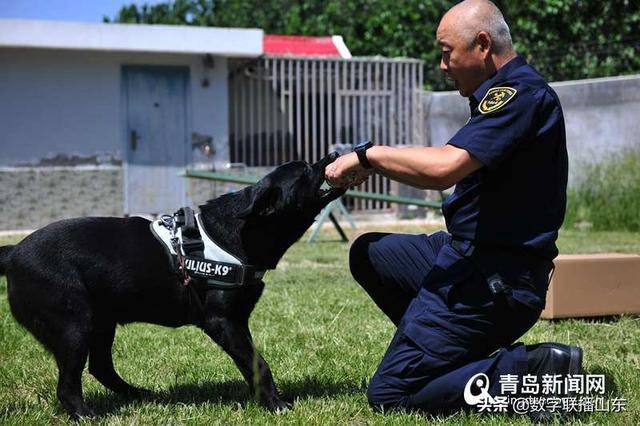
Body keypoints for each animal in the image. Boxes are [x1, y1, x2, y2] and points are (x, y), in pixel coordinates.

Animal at [0, 151, 344, 418]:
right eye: (305, 169)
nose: (334, 154)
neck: (239, 233)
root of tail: (13, 252)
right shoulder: (222, 322)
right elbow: (257, 363)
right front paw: (275, 405)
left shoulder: (238, 321)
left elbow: (252, 364)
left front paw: (266, 398)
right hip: (74, 326)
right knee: (68, 384)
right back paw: (85, 414)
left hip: (101, 323)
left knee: (101, 368)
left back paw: (139, 395)